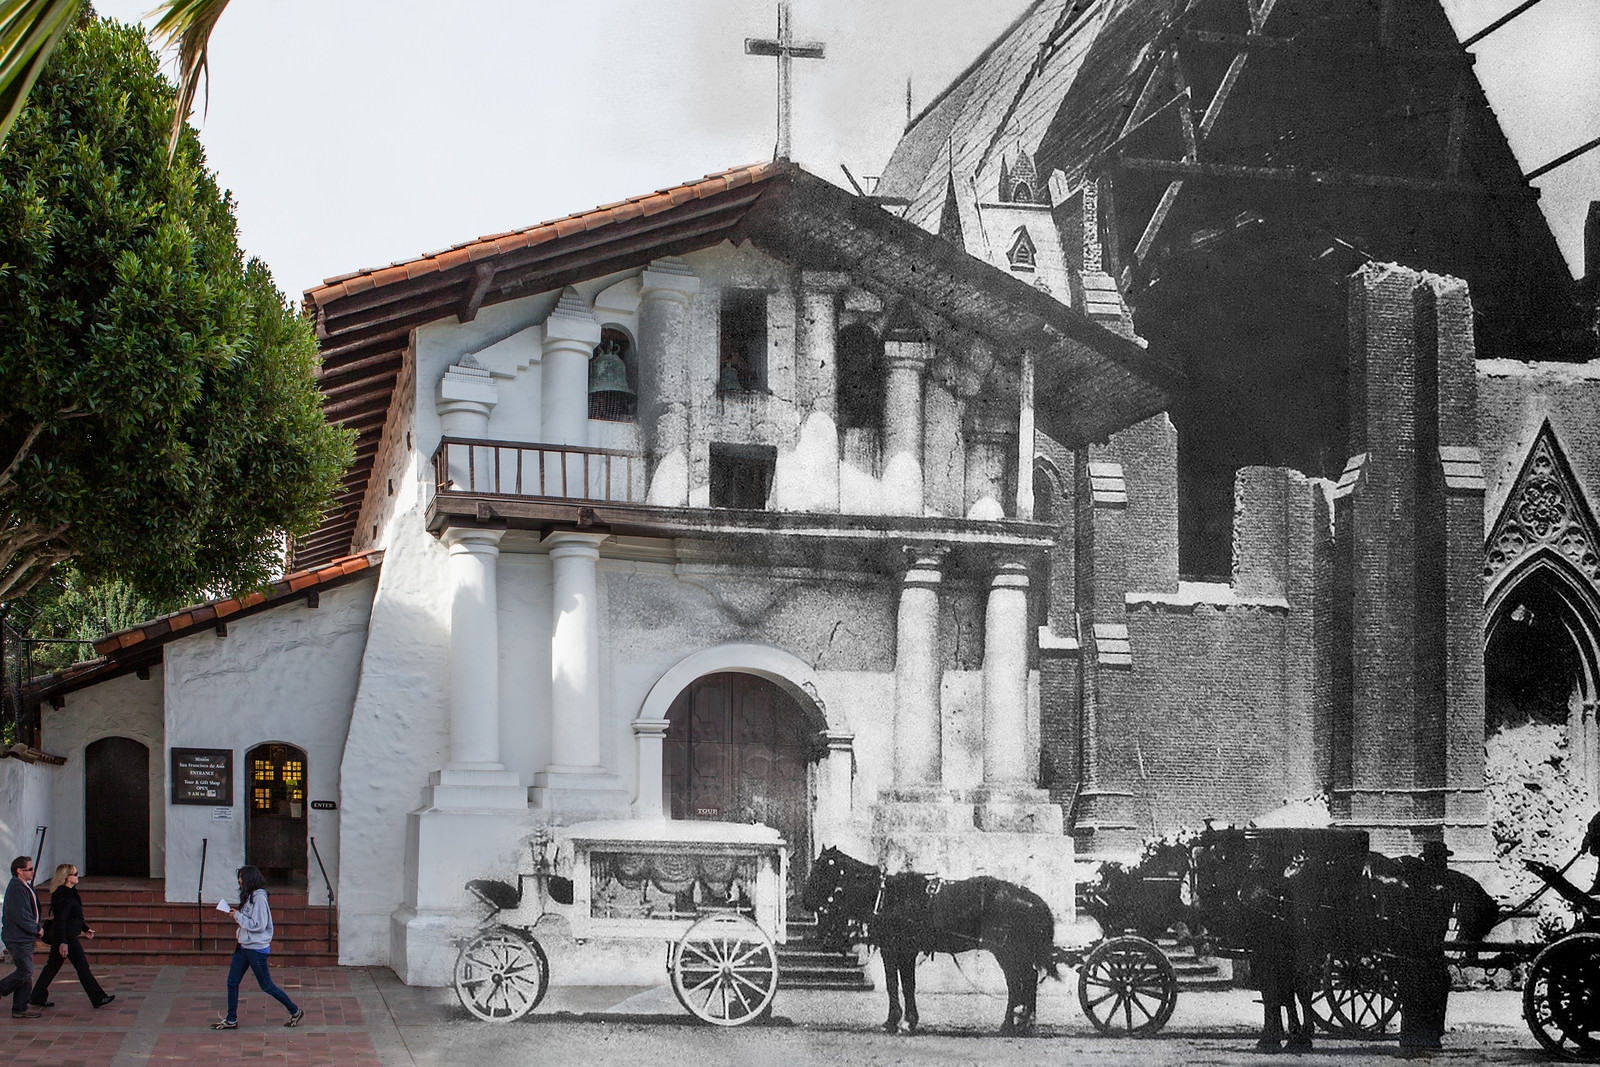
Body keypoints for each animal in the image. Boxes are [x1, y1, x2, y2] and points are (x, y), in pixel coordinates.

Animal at [800, 844, 1062, 1030]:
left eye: (820, 869)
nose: (804, 901)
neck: (888, 897)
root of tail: (1032, 899)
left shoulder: (901, 950)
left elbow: (902, 985)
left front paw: (902, 1021)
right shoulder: (896, 950)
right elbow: (899, 985)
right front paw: (899, 1020)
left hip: (1007, 951)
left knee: (1020, 981)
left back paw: (1013, 1023)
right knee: (1025, 980)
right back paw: (1023, 1022)